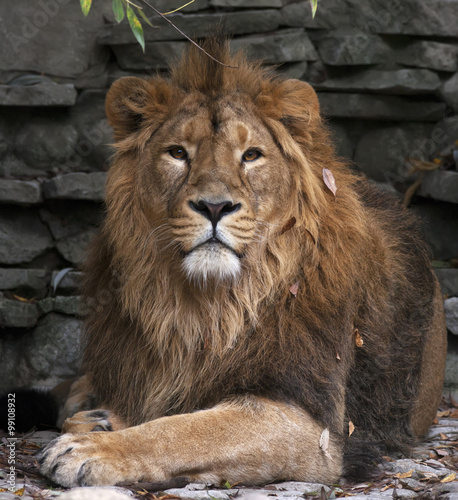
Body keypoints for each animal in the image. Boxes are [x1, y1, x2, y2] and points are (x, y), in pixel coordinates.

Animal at [36, 42, 448, 488]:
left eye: (251, 155)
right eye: (177, 153)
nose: (214, 206)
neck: (207, 305)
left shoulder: (314, 425)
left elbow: (186, 430)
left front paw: (94, 449)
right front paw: (98, 424)